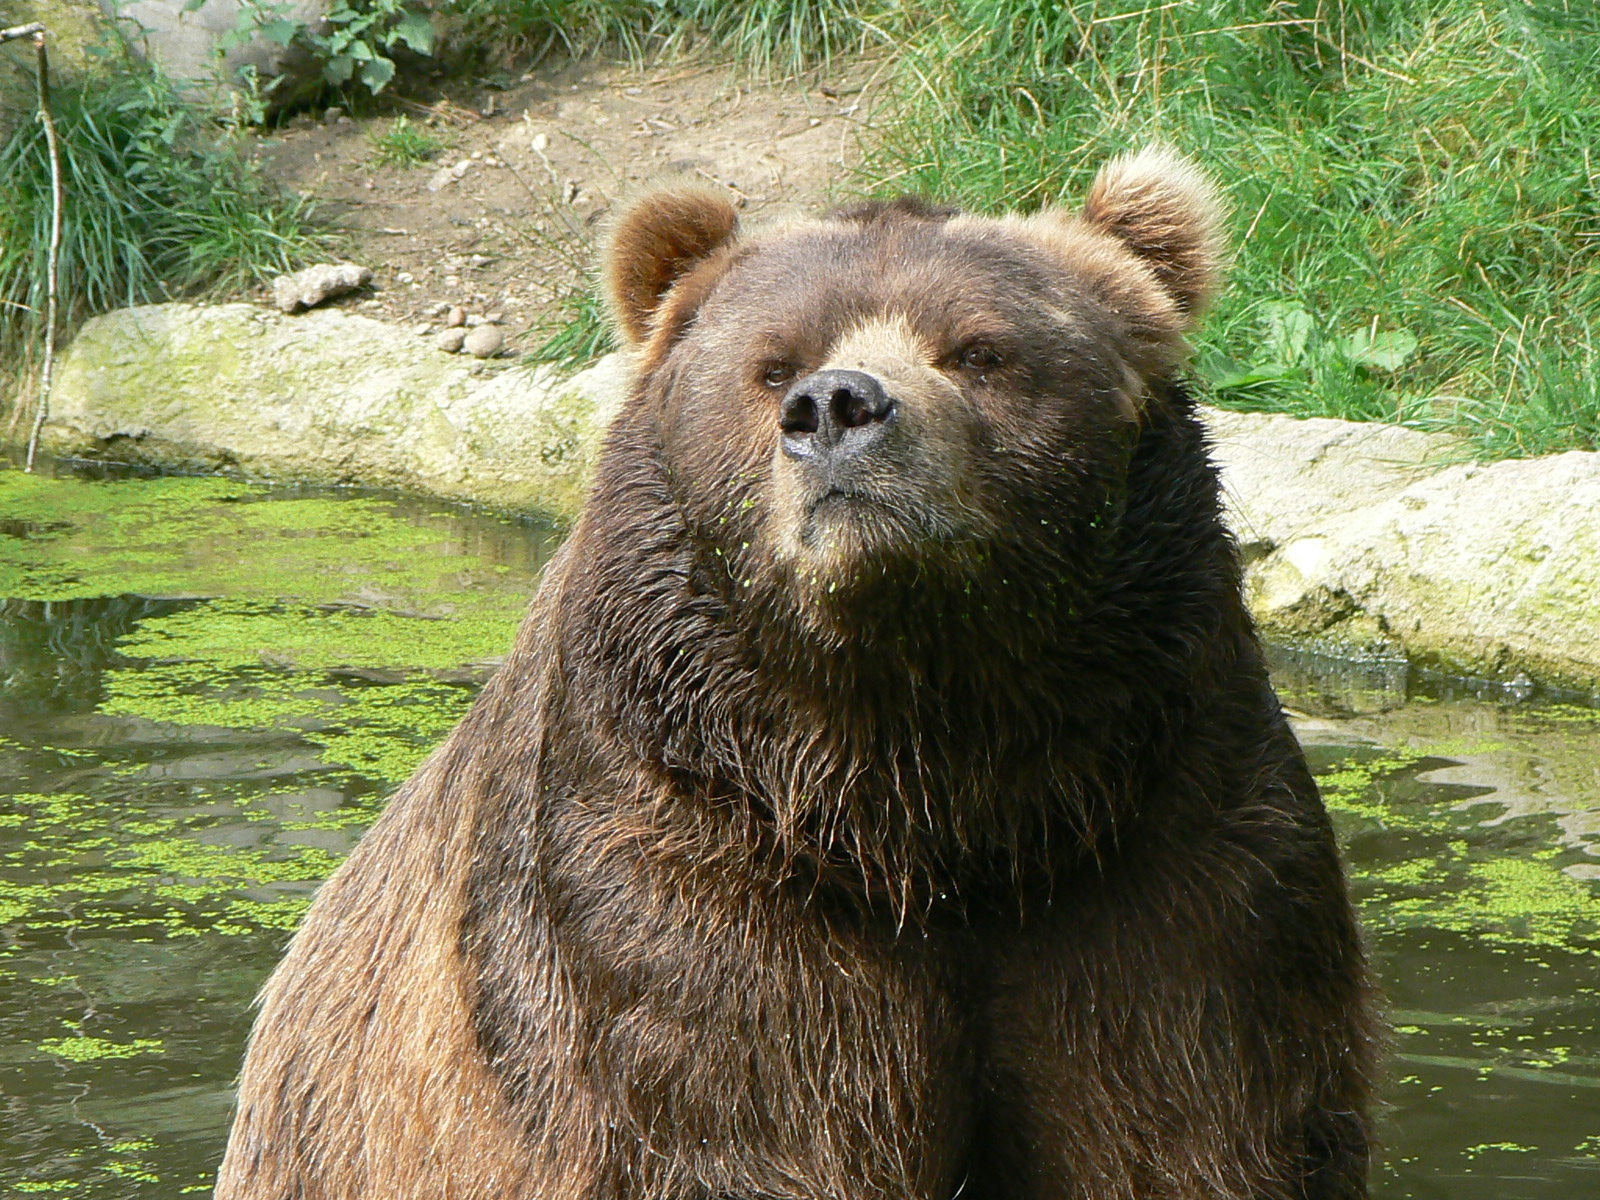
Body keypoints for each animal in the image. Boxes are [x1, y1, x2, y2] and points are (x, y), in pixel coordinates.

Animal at [215, 147, 1379, 1200]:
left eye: (979, 349)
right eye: (772, 363)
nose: (837, 407)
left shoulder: (1160, 846)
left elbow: (1185, 1125)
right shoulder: (682, 864)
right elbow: (742, 1117)